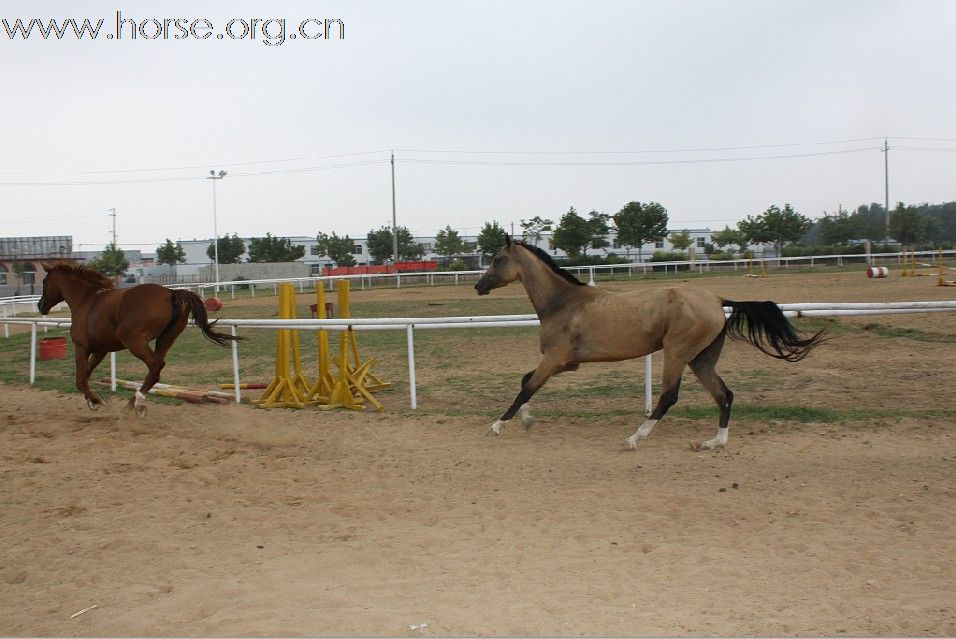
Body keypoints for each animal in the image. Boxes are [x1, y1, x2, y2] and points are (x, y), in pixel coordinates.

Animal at [37, 262, 241, 418]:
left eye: (44, 281)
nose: (40, 306)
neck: (87, 300)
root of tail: (171, 293)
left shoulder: (82, 347)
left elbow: (80, 380)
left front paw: (96, 400)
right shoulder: (100, 350)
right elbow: (85, 375)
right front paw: (93, 400)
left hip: (134, 342)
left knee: (156, 366)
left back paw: (136, 404)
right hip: (164, 340)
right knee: (155, 371)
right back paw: (131, 404)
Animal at [474, 238, 824, 452]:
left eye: (497, 258)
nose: (479, 286)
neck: (563, 303)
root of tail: (717, 299)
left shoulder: (554, 360)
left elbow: (525, 389)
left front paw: (496, 426)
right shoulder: (565, 363)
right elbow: (525, 383)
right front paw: (527, 421)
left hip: (677, 353)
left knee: (669, 396)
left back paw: (634, 438)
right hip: (701, 359)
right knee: (724, 395)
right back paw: (714, 443)